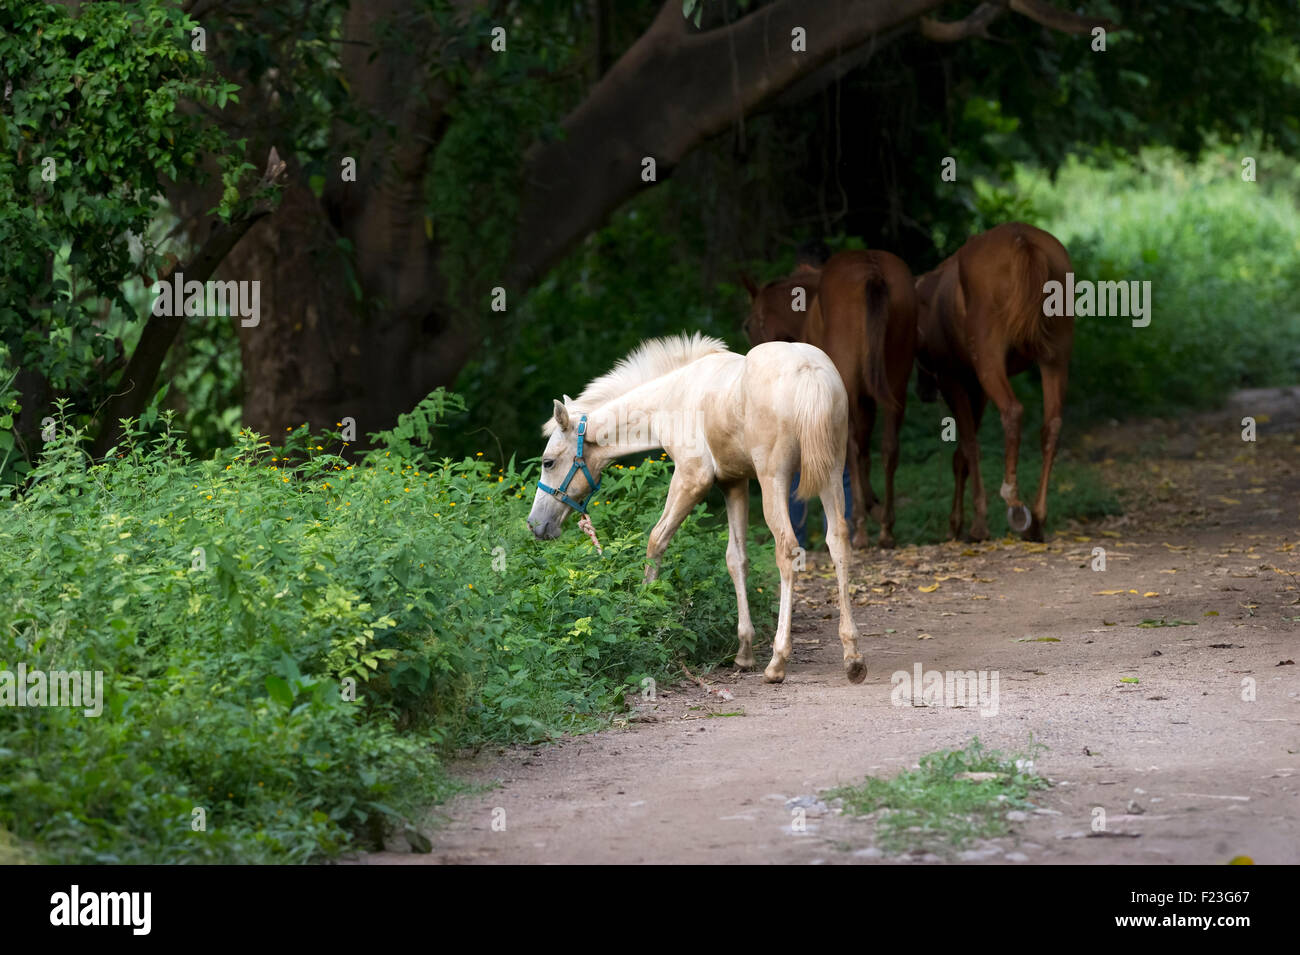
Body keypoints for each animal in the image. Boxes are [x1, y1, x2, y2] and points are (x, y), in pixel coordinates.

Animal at [522, 332, 868, 686]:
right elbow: (736, 559)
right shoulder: (734, 482)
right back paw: (852, 656)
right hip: (830, 474)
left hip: (776, 479)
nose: (535, 524)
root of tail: (808, 370)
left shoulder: (692, 478)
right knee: (838, 542)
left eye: (548, 462)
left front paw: (645, 616)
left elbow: (656, 540)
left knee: (787, 549)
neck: (673, 397)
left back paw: (778, 661)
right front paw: (744, 652)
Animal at [748, 250, 920, 548]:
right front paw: (875, 506)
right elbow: (868, 453)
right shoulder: (869, 399)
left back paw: (860, 526)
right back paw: (886, 527)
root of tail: (873, 270)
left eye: (748, 326)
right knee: (889, 447)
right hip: (896, 386)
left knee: (851, 448)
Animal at [909, 219, 1071, 540]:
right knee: (1052, 424)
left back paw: (1014, 502)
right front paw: (959, 520)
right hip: (1055, 357)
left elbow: (969, 447)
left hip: (989, 358)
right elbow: (962, 453)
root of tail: (1023, 241)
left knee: (1012, 411)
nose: (923, 391)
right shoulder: (976, 388)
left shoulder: (954, 380)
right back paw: (1038, 517)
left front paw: (975, 523)